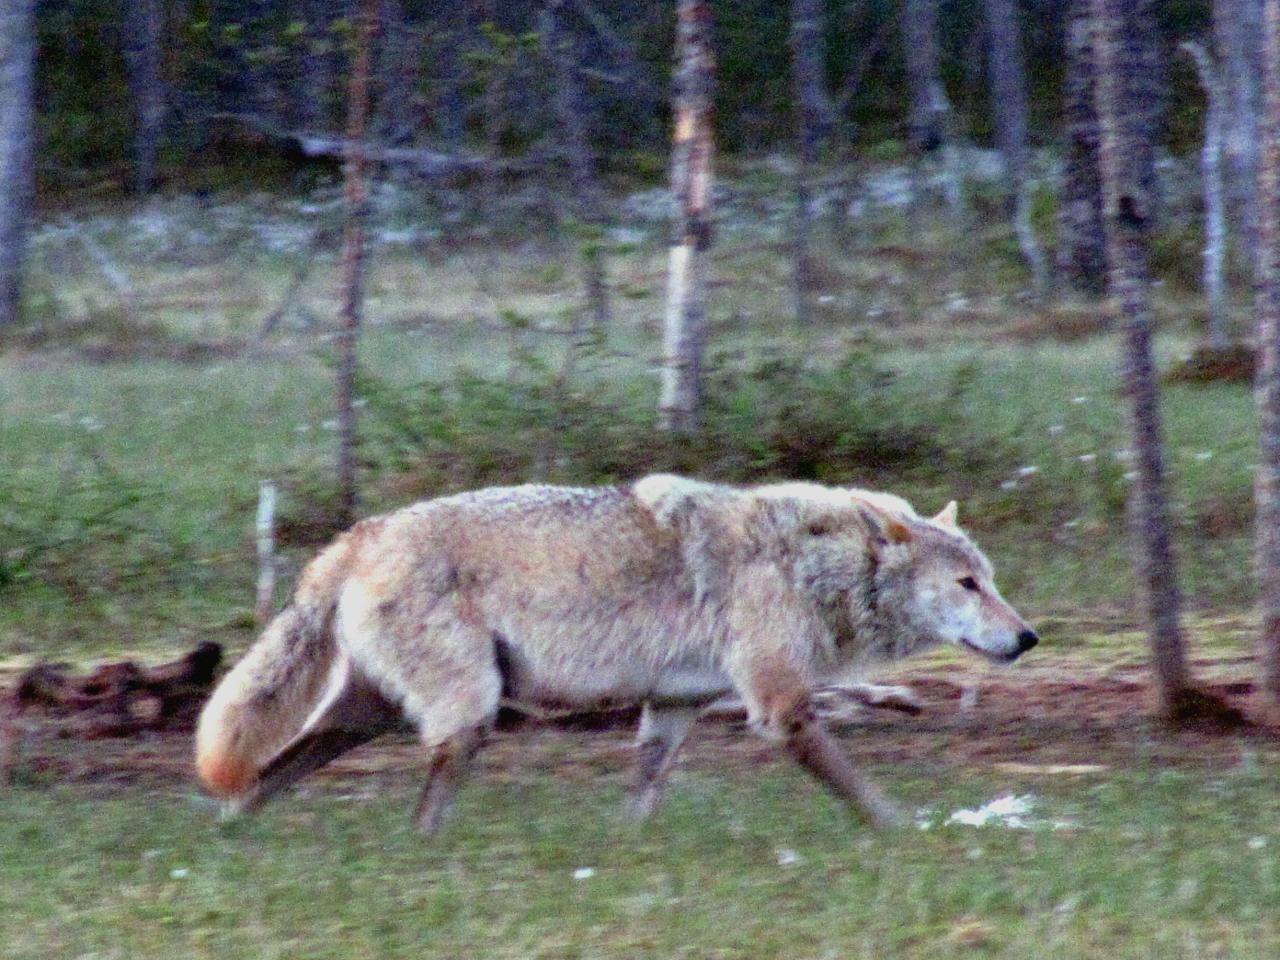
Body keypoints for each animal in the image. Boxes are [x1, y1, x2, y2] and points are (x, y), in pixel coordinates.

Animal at [194, 478, 1034, 829]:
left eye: (991, 581)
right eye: (967, 584)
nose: (1028, 638)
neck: (809, 561)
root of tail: (360, 534)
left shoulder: (673, 708)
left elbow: (643, 792)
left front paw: (628, 846)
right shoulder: (780, 707)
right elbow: (860, 790)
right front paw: (903, 831)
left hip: (368, 717)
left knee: (259, 779)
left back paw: (234, 839)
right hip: (467, 715)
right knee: (422, 808)